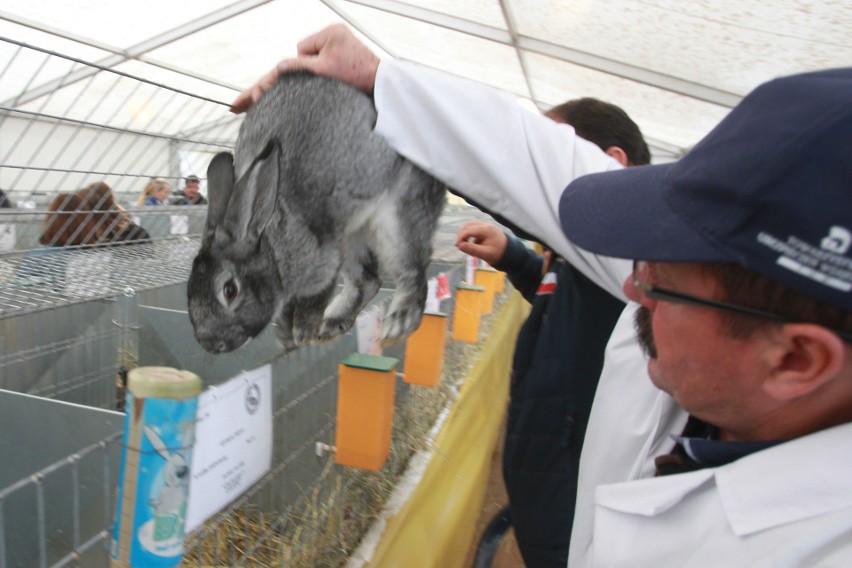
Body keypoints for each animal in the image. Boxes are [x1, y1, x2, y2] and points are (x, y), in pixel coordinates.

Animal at [187, 71, 446, 352]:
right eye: (189, 291)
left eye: (230, 290)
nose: (211, 344)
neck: (274, 252)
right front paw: (286, 337)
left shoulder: (322, 262)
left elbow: (312, 301)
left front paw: (301, 332)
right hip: (352, 237)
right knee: (368, 281)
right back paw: (331, 325)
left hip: (397, 221)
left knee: (412, 273)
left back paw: (398, 322)